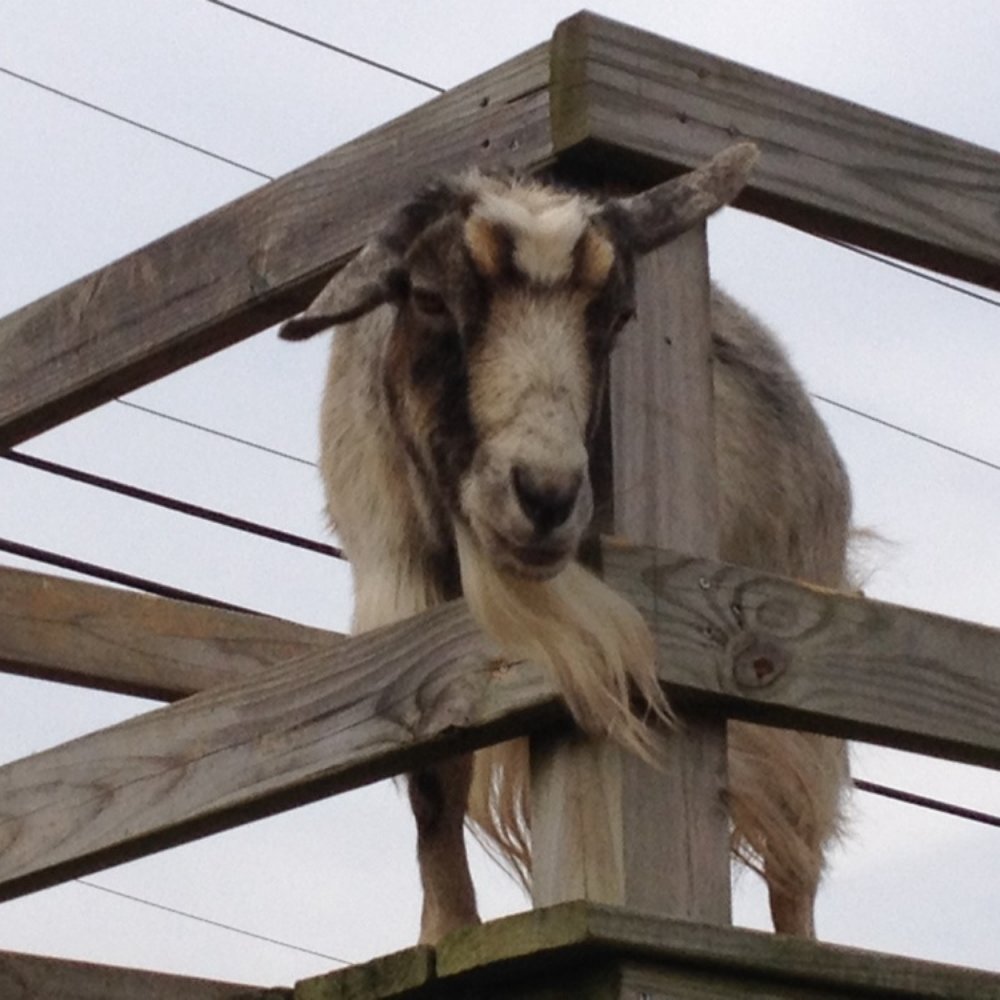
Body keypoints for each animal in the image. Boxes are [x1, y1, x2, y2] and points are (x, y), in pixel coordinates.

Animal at [280, 144, 852, 944]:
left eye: (619, 315)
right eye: (428, 297)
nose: (545, 495)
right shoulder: (397, 592)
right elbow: (433, 779)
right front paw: (446, 933)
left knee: (794, 847)